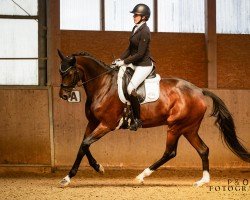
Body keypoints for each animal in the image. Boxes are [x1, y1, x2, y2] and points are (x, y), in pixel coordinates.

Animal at [57, 50, 250, 188]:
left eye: (69, 73)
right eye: (60, 72)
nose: (64, 95)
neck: (102, 85)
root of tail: (199, 91)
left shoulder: (106, 124)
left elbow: (85, 144)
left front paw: (71, 176)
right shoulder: (93, 123)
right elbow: (83, 145)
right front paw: (94, 168)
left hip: (175, 127)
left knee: (170, 152)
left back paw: (141, 176)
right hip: (189, 128)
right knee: (203, 149)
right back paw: (203, 181)